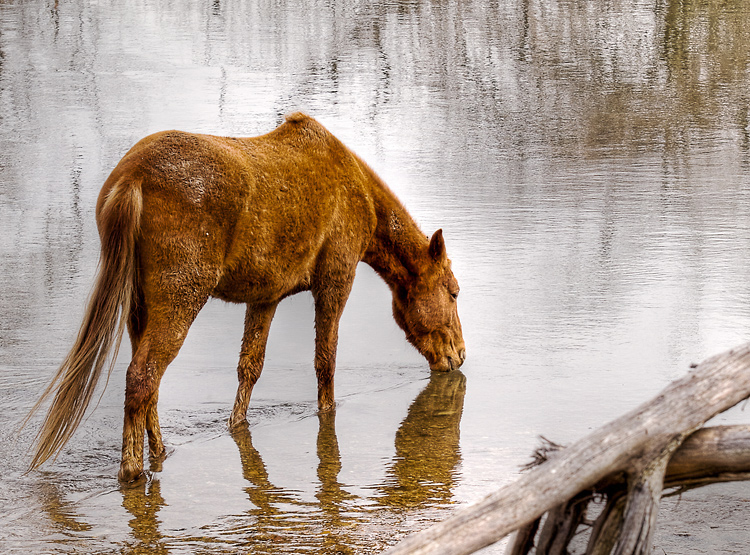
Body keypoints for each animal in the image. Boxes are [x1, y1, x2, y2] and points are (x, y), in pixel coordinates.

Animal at [29, 113, 468, 482]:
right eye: (454, 291)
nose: (459, 355)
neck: (357, 192)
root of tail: (131, 176)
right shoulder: (335, 281)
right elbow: (325, 362)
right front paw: (327, 416)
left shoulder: (266, 297)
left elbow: (249, 368)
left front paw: (237, 425)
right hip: (180, 299)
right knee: (143, 377)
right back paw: (133, 470)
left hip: (142, 305)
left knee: (148, 382)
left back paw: (159, 450)